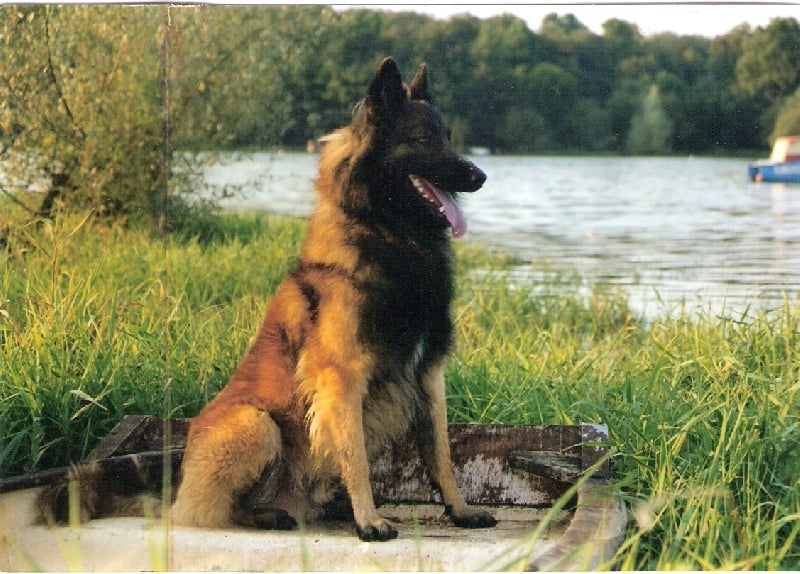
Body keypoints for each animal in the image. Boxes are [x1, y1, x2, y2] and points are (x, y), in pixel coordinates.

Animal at [38, 57, 495, 542]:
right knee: (208, 513)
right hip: (257, 424)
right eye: (423, 140)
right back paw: (263, 515)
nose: (480, 176)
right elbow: (356, 458)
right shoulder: (342, 378)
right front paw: (369, 520)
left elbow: (441, 454)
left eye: (447, 137)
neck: (394, 238)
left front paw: (460, 510)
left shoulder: (429, 373)